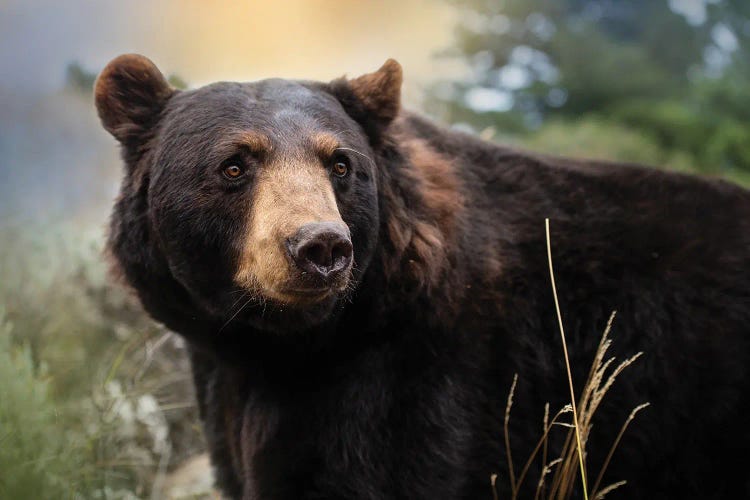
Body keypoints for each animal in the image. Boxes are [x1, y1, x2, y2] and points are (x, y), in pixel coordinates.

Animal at [97, 52, 750, 498]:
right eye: (234, 165)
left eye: (340, 163)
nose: (321, 245)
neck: (288, 344)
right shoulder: (231, 385)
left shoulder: (423, 381)